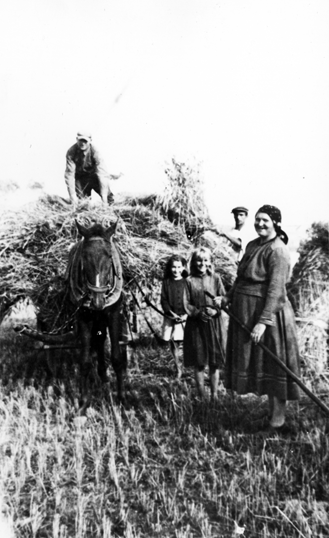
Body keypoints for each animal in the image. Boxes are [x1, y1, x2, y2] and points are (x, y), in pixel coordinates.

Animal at [65, 216, 125, 404]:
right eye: (84, 256)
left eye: (109, 256)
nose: (97, 301)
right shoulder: (84, 317)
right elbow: (84, 361)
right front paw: (83, 400)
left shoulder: (113, 314)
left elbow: (117, 357)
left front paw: (121, 398)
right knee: (98, 341)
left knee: (100, 339)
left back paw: (104, 376)